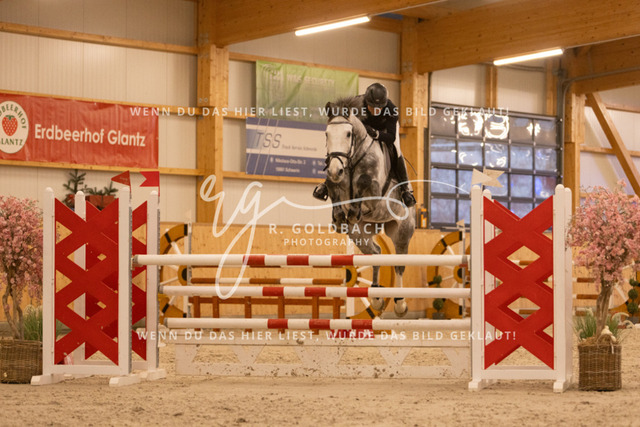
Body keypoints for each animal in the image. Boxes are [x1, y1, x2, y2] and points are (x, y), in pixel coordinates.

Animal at [323, 96, 416, 317]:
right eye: (327, 134)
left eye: (348, 134)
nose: (335, 169)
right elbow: (332, 187)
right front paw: (339, 217)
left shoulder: (374, 193)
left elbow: (364, 183)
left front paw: (353, 210)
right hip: (360, 232)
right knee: (375, 253)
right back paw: (376, 297)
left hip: (402, 230)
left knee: (399, 263)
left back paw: (399, 303)